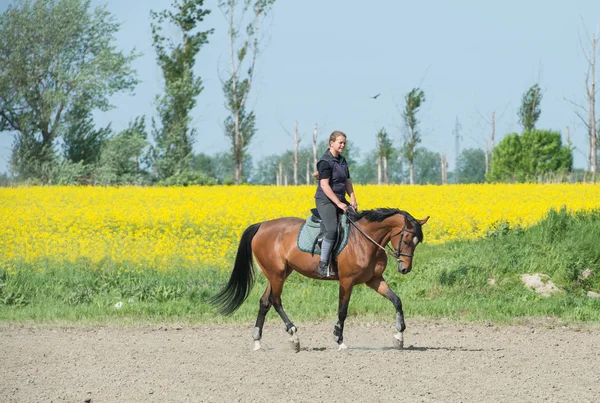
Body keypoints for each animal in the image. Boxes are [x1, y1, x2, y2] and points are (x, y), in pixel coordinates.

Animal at [209, 210, 428, 352]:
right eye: (406, 240)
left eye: (417, 242)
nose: (405, 269)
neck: (365, 241)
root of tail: (262, 225)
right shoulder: (346, 281)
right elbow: (342, 311)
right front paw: (339, 340)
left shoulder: (374, 280)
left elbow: (396, 300)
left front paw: (399, 337)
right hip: (277, 274)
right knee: (275, 301)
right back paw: (294, 336)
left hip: (278, 273)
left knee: (265, 302)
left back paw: (257, 342)